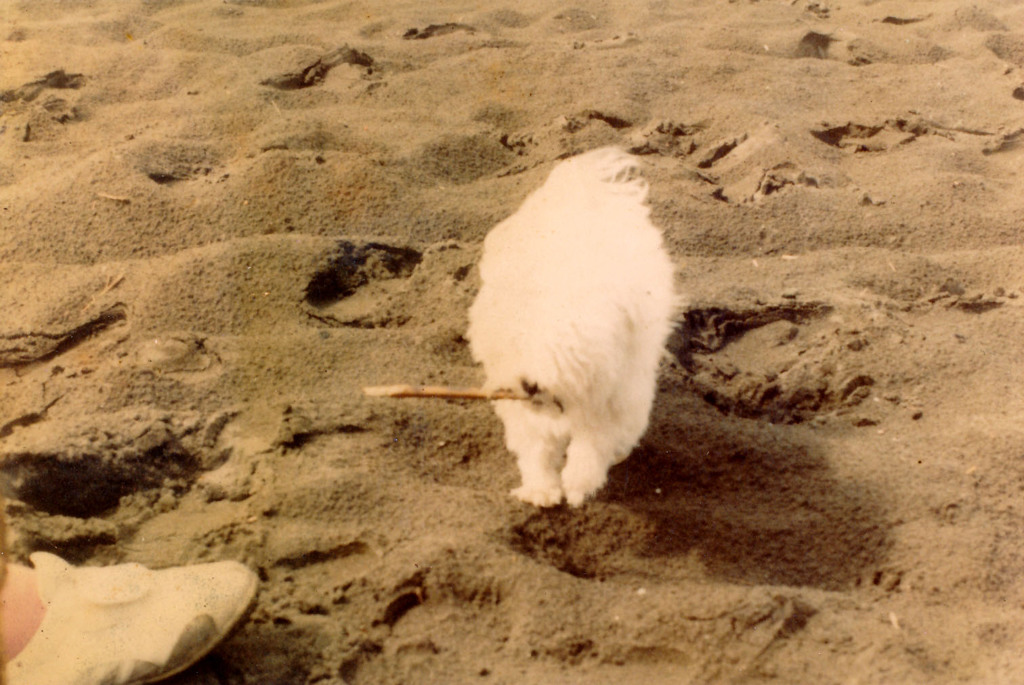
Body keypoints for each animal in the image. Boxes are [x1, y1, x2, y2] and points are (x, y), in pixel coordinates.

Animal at [466, 147, 675, 505]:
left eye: (566, 352)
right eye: (516, 342)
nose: (529, 383)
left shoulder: (611, 400)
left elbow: (591, 447)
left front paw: (577, 485)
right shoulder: (525, 414)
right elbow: (537, 451)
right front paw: (541, 490)